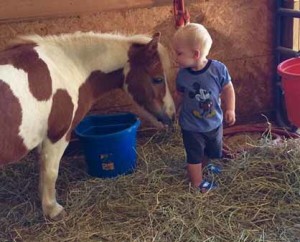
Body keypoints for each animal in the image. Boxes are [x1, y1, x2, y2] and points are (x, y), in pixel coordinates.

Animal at [0, 31, 176, 219]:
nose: (172, 115)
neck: (67, 67)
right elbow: (51, 172)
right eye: (158, 79)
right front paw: (53, 209)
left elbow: (43, 169)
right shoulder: (58, 136)